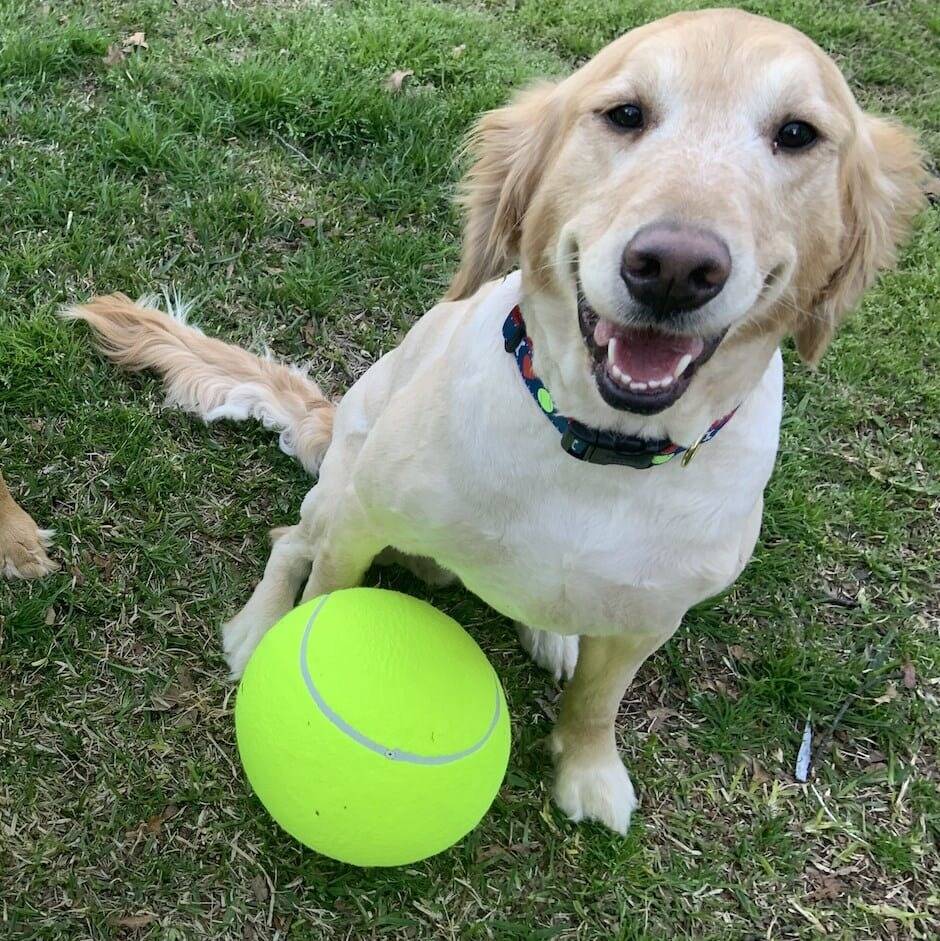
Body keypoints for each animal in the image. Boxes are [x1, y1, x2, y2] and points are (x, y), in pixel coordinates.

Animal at [68, 9, 924, 828]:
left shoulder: (653, 615)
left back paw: (552, 632)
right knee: (288, 542)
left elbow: (599, 702)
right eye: (625, 114)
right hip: (341, 476)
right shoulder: (361, 520)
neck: (596, 448)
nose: (675, 267)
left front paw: (589, 770)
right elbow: (324, 594)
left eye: (797, 134)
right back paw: (255, 630)